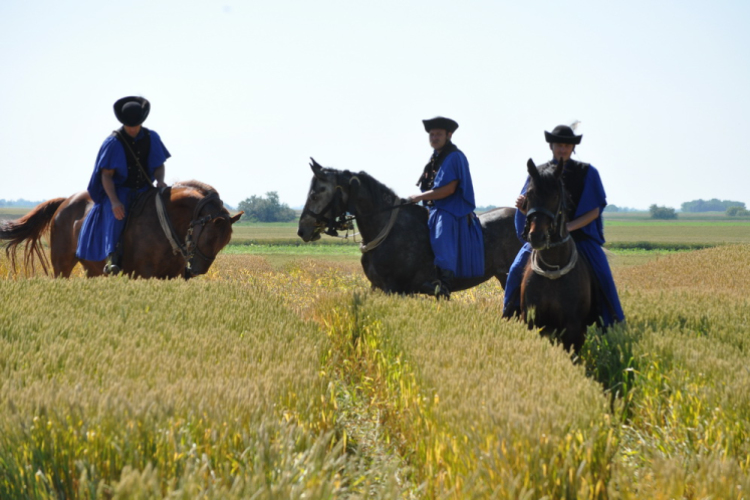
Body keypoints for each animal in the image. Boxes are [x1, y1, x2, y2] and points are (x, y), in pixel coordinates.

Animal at [0, 180, 241, 280]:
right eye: (210, 237)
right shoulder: (144, 274)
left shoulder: (171, 276)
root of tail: (64, 202)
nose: (197, 270)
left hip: (92, 269)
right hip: (62, 265)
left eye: (224, 243)